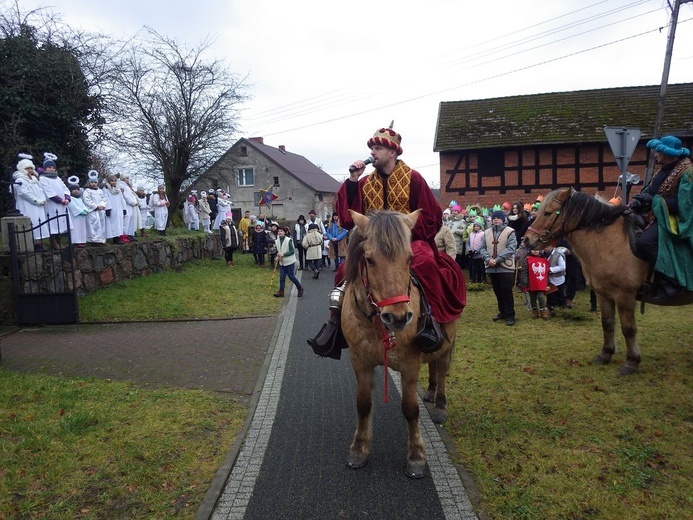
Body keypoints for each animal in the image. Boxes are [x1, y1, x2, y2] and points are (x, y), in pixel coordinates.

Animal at [340, 209, 454, 478]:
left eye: (410, 259)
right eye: (369, 260)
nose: (398, 317)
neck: (375, 325)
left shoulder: (409, 364)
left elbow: (410, 409)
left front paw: (416, 457)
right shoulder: (360, 361)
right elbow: (363, 404)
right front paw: (359, 448)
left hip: (448, 342)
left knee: (442, 369)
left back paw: (440, 404)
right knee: (433, 367)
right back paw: (430, 391)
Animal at [528, 187, 688, 374]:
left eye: (548, 213)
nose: (526, 239)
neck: (607, 241)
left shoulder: (624, 295)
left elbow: (628, 329)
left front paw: (631, 362)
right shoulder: (604, 293)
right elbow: (607, 323)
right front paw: (606, 354)